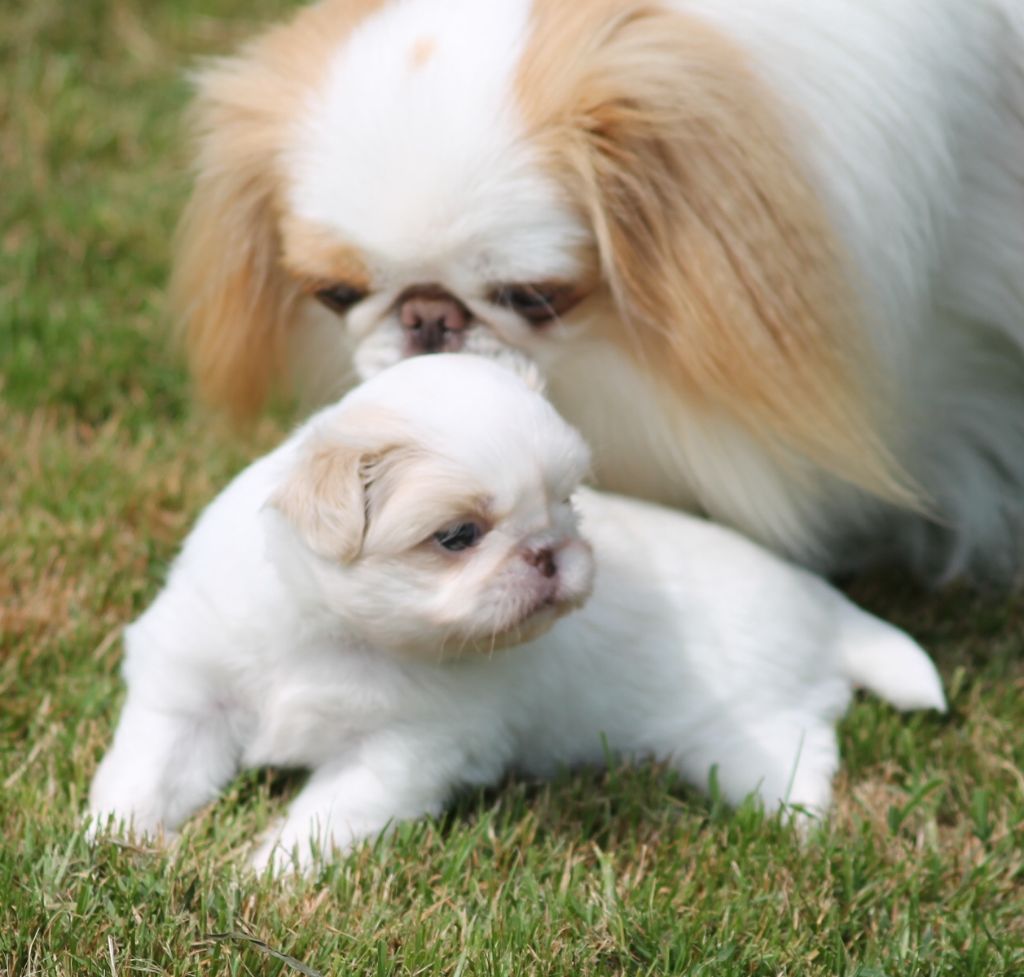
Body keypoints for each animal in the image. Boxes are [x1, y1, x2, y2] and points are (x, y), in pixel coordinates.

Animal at [88, 356, 942, 868]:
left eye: (565, 504)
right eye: (457, 536)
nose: (551, 552)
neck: (338, 633)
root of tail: (822, 602)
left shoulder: (406, 752)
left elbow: (327, 816)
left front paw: (264, 875)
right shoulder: (190, 696)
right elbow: (144, 772)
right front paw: (111, 848)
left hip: (748, 735)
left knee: (806, 753)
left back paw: (798, 828)